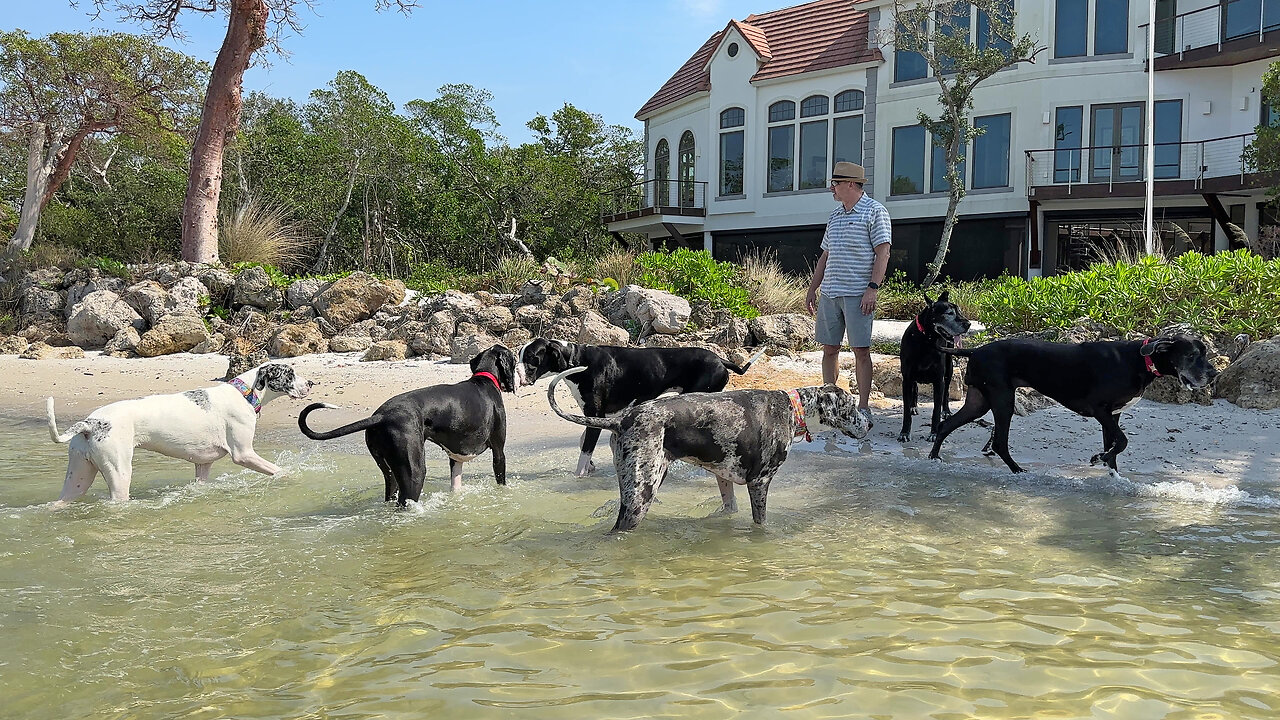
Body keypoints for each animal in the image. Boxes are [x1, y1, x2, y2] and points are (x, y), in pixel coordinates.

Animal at [47, 361, 314, 502]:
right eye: (290, 374)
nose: (311, 383)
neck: (244, 393)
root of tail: (91, 423)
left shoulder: (203, 465)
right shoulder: (244, 455)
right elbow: (281, 471)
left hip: (77, 479)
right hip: (119, 474)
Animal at [296, 343, 517, 502]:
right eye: (514, 359)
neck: (484, 379)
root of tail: (381, 416)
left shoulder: (455, 457)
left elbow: (456, 484)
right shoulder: (499, 452)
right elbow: (501, 477)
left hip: (390, 472)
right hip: (414, 471)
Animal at [545, 366, 865, 530]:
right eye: (851, 406)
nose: (871, 423)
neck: (792, 409)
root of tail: (621, 419)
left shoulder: (723, 477)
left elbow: (729, 507)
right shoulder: (759, 483)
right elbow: (761, 523)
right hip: (640, 495)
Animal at [896, 288, 972, 440]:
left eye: (959, 311)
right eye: (949, 313)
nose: (968, 324)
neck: (927, 340)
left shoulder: (938, 380)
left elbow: (936, 410)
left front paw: (934, 433)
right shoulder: (906, 379)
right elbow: (906, 410)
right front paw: (905, 432)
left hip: (949, 369)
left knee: (946, 391)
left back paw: (946, 411)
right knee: (915, 387)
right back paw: (914, 406)